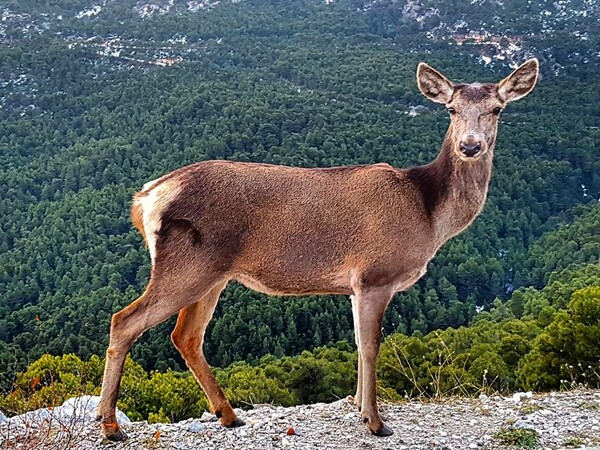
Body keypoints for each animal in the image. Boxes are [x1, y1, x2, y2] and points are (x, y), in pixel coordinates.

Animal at [97, 57, 540, 440]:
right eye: (450, 109)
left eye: (497, 109)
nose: (470, 146)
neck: (428, 213)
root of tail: (144, 199)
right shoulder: (375, 274)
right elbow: (372, 345)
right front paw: (376, 421)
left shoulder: (355, 286)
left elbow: (359, 342)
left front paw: (357, 406)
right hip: (186, 266)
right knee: (125, 320)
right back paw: (111, 425)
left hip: (212, 275)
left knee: (185, 336)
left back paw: (228, 415)